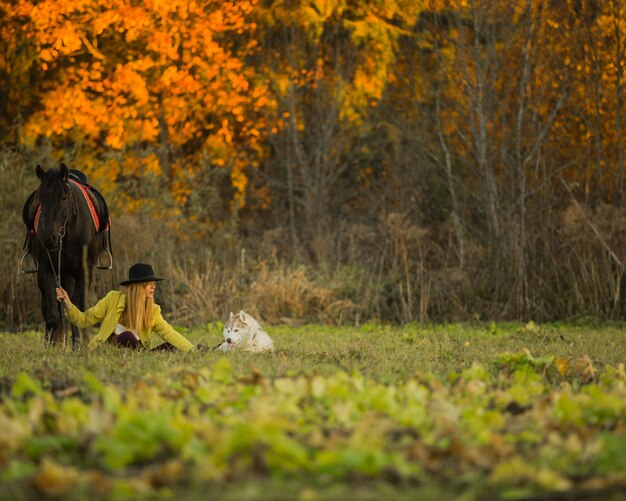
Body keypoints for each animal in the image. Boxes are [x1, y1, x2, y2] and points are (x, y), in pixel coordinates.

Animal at [21, 163, 112, 344]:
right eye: (41, 199)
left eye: (63, 198)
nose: (49, 237)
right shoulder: (46, 270)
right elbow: (52, 313)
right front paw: (51, 346)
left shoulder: (83, 271)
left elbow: (78, 308)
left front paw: (79, 344)